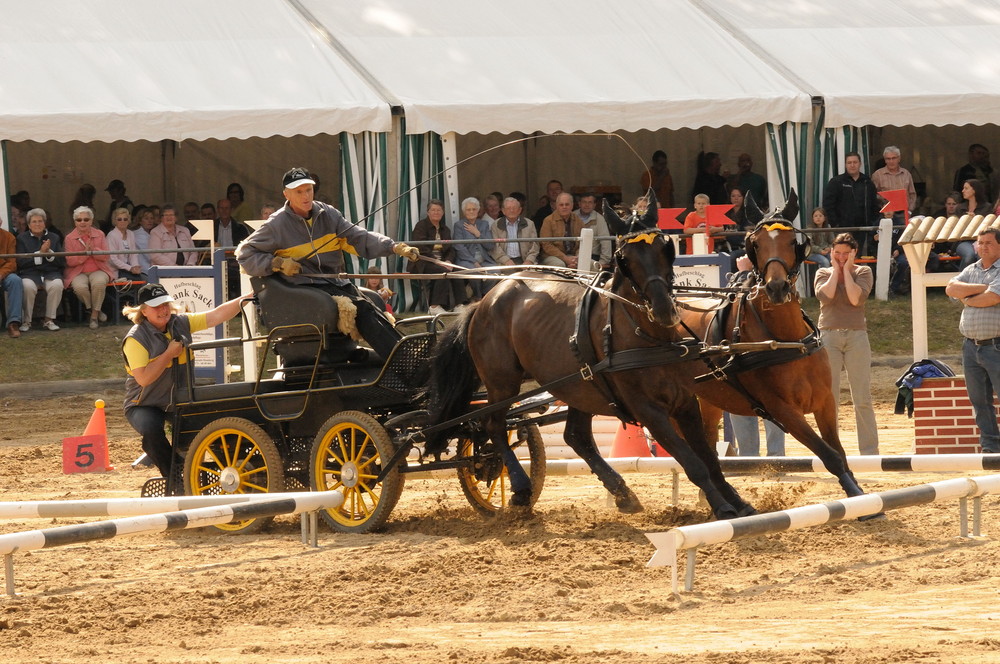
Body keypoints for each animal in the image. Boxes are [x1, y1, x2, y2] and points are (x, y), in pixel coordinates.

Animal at [424, 197, 756, 520]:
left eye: (665, 247)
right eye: (625, 257)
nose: (664, 309)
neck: (646, 335)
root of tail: (486, 300)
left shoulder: (685, 403)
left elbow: (709, 458)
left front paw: (738, 502)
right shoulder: (648, 410)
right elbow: (692, 461)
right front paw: (721, 506)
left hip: (579, 386)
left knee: (576, 436)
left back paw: (623, 494)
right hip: (502, 382)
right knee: (494, 427)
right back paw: (520, 488)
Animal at [680, 193, 868, 498]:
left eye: (792, 241)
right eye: (755, 244)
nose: (776, 287)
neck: (787, 341)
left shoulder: (825, 401)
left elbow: (838, 451)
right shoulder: (783, 410)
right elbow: (829, 455)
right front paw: (856, 495)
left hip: (709, 400)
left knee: (707, 444)